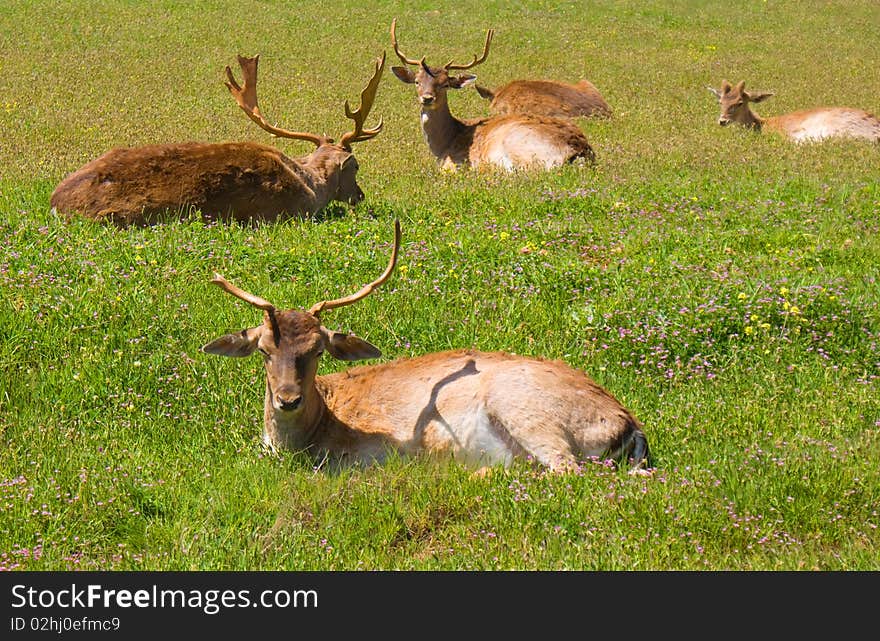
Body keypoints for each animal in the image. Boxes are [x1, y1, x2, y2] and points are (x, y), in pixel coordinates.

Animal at [49, 53, 386, 228]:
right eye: (355, 165)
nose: (359, 195)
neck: (311, 185)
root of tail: (55, 202)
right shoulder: (283, 214)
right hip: (121, 216)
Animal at [203, 220, 648, 476]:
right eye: (264, 350)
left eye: (317, 351)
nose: (287, 399)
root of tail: (629, 424)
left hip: (527, 409)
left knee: (566, 469)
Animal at [388, 18, 596, 171]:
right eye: (417, 81)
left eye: (445, 84)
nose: (427, 98)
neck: (444, 145)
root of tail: (580, 150)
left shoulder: (454, 163)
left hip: (519, 143)